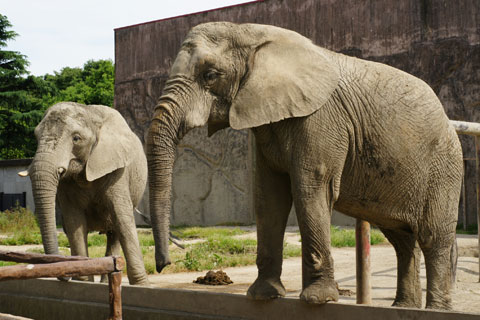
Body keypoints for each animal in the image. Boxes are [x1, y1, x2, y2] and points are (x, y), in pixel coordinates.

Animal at [21, 101, 148, 284]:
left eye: (76, 139)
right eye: (36, 136)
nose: (64, 276)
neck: (91, 114)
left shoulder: (117, 171)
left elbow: (123, 220)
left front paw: (142, 284)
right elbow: (75, 222)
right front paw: (83, 281)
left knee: (114, 233)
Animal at [145, 23, 462, 310]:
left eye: (210, 75)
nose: (163, 264)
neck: (251, 32)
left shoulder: (321, 119)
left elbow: (310, 188)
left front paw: (317, 299)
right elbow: (269, 196)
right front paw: (262, 296)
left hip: (444, 167)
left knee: (433, 237)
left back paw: (435, 311)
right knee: (402, 239)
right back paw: (404, 307)